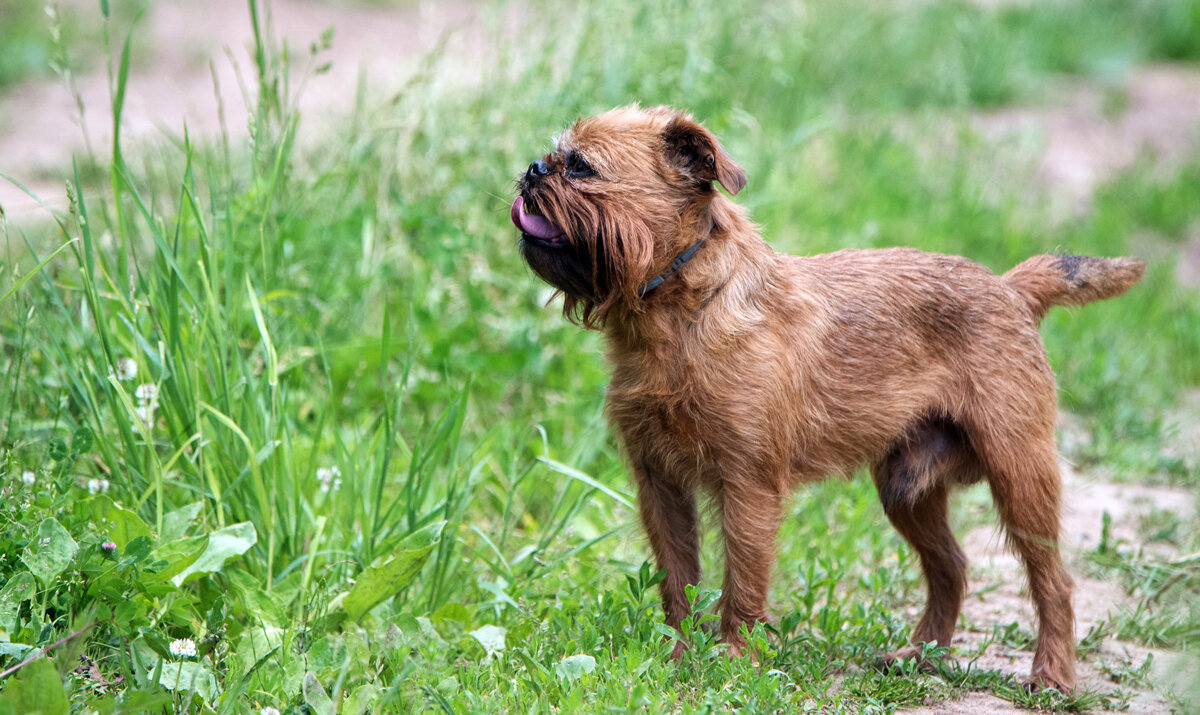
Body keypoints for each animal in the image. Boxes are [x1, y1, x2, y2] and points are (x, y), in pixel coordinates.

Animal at [508, 103, 1142, 691]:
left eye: (581, 167)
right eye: (554, 156)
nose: (534, 168)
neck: (680, 314)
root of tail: (1011, 289)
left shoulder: (749, 486)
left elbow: (743, 578)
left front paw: (734, 661)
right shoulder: (658, 483)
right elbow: (679, 578)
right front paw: (680, 656)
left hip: (1019, 469)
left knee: (1052, 579)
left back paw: (1051, 675)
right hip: (905, 486)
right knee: (951, 567)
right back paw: (917, 657)